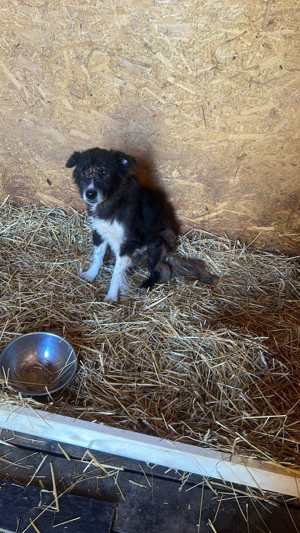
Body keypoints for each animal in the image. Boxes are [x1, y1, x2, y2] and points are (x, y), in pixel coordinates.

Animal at [66, 148, 218, 302]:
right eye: (84, 172)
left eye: (104, 172)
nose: (90, 194)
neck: (112, 201)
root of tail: (169, 254)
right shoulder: (99, 232)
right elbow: (97, 257)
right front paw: (91, 274)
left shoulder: (128, 242)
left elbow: (117, 272)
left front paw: (112, 295)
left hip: (158, 242)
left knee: (164, 270)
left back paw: (147, 284)